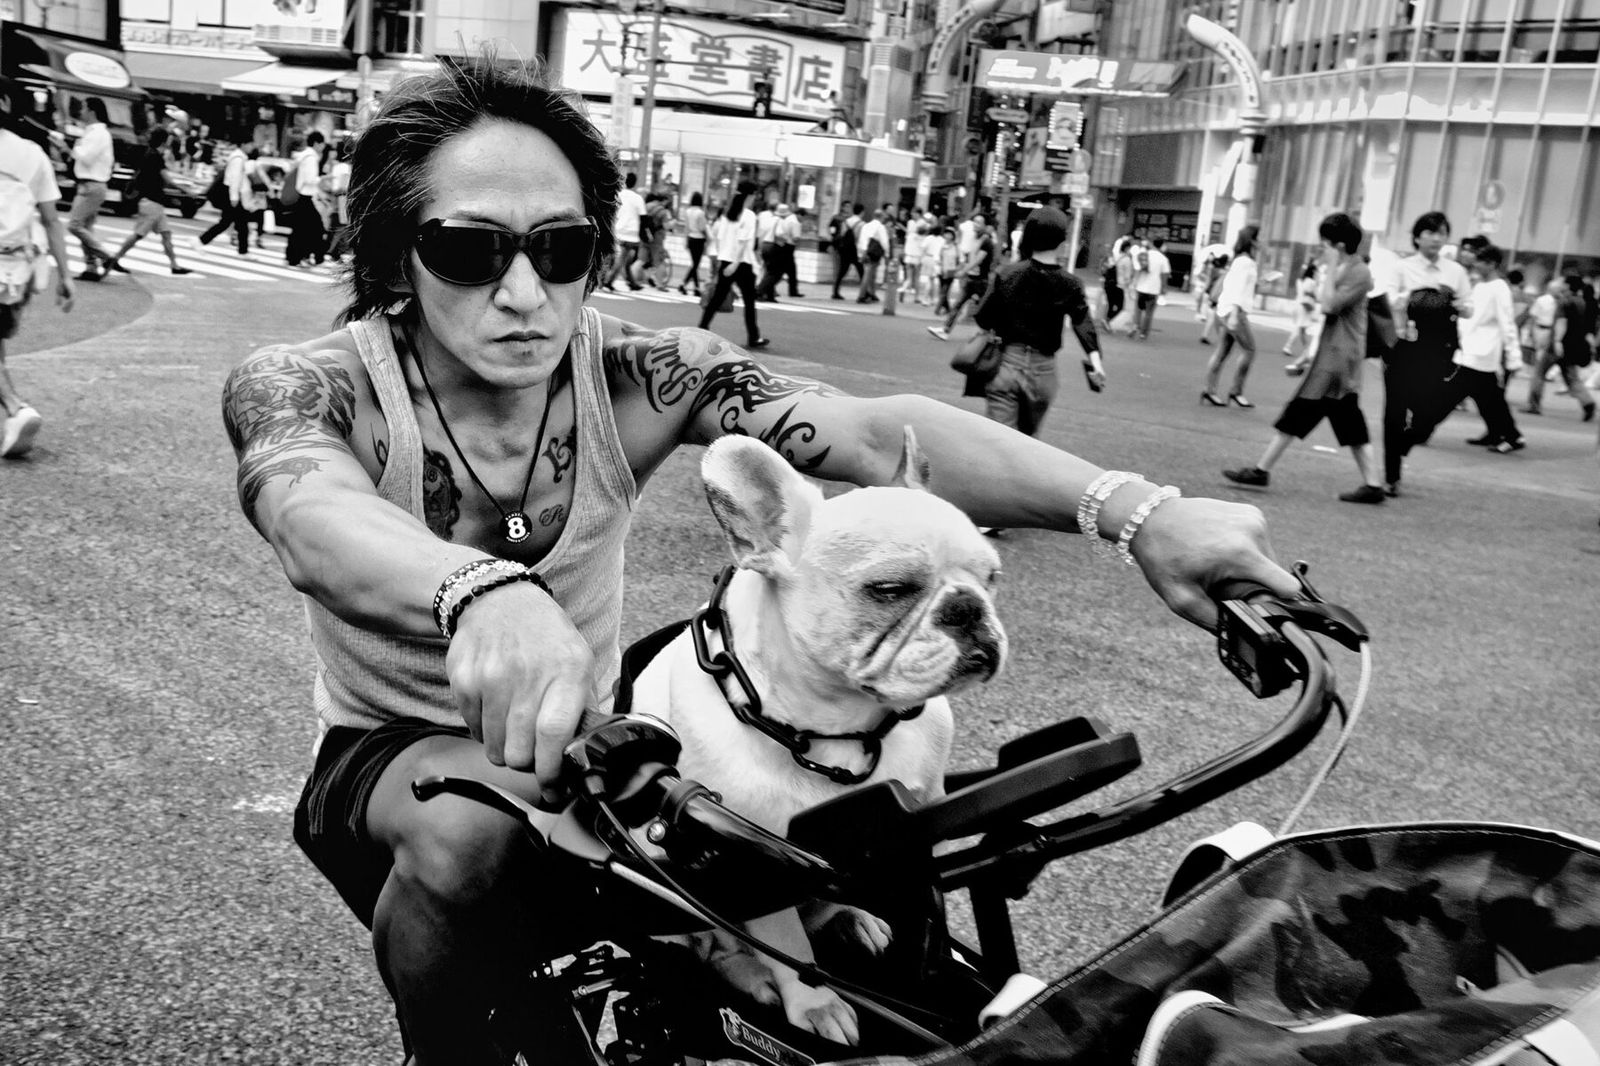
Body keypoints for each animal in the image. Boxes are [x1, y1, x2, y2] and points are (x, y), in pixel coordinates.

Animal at [624, 422, 998, 1037]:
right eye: (890, 589)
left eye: (992, 578)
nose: (969, 606)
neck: (844, 730)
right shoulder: (752, 862)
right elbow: (790, 948)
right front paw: (814, 1003)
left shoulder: (920, 821)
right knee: (716, 946)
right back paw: (753, 975)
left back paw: (853, 918)